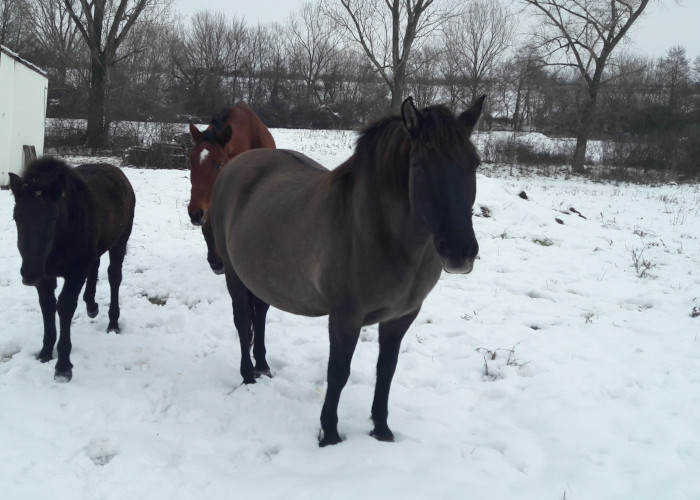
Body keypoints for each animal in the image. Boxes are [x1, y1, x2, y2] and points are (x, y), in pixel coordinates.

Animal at [9, 158, 135, 380]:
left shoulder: (75, 273)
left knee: (114, 277)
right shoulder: (45, 277)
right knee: (95, 265)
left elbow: (65, 307)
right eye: (16, 217)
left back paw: (113, 323)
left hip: (119, 244)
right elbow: (47, 306)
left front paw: (63, 366)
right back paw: (91, 306)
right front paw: (45, 353)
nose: (29, 275)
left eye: (53, 218)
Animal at [212, 94, 486, 446]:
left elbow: (386, 371)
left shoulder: (400, 318)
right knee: (242, 318)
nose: (460, 252)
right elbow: (338, 373)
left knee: (259, 315)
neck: (379, 232)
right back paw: (248, 376)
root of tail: (236, 164)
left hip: (262, 276)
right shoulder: (345, 317)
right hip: (234, 274)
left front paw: (381, 430)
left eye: (474, 163)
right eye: (419, 165)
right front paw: (329, 434)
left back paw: (263, 366)